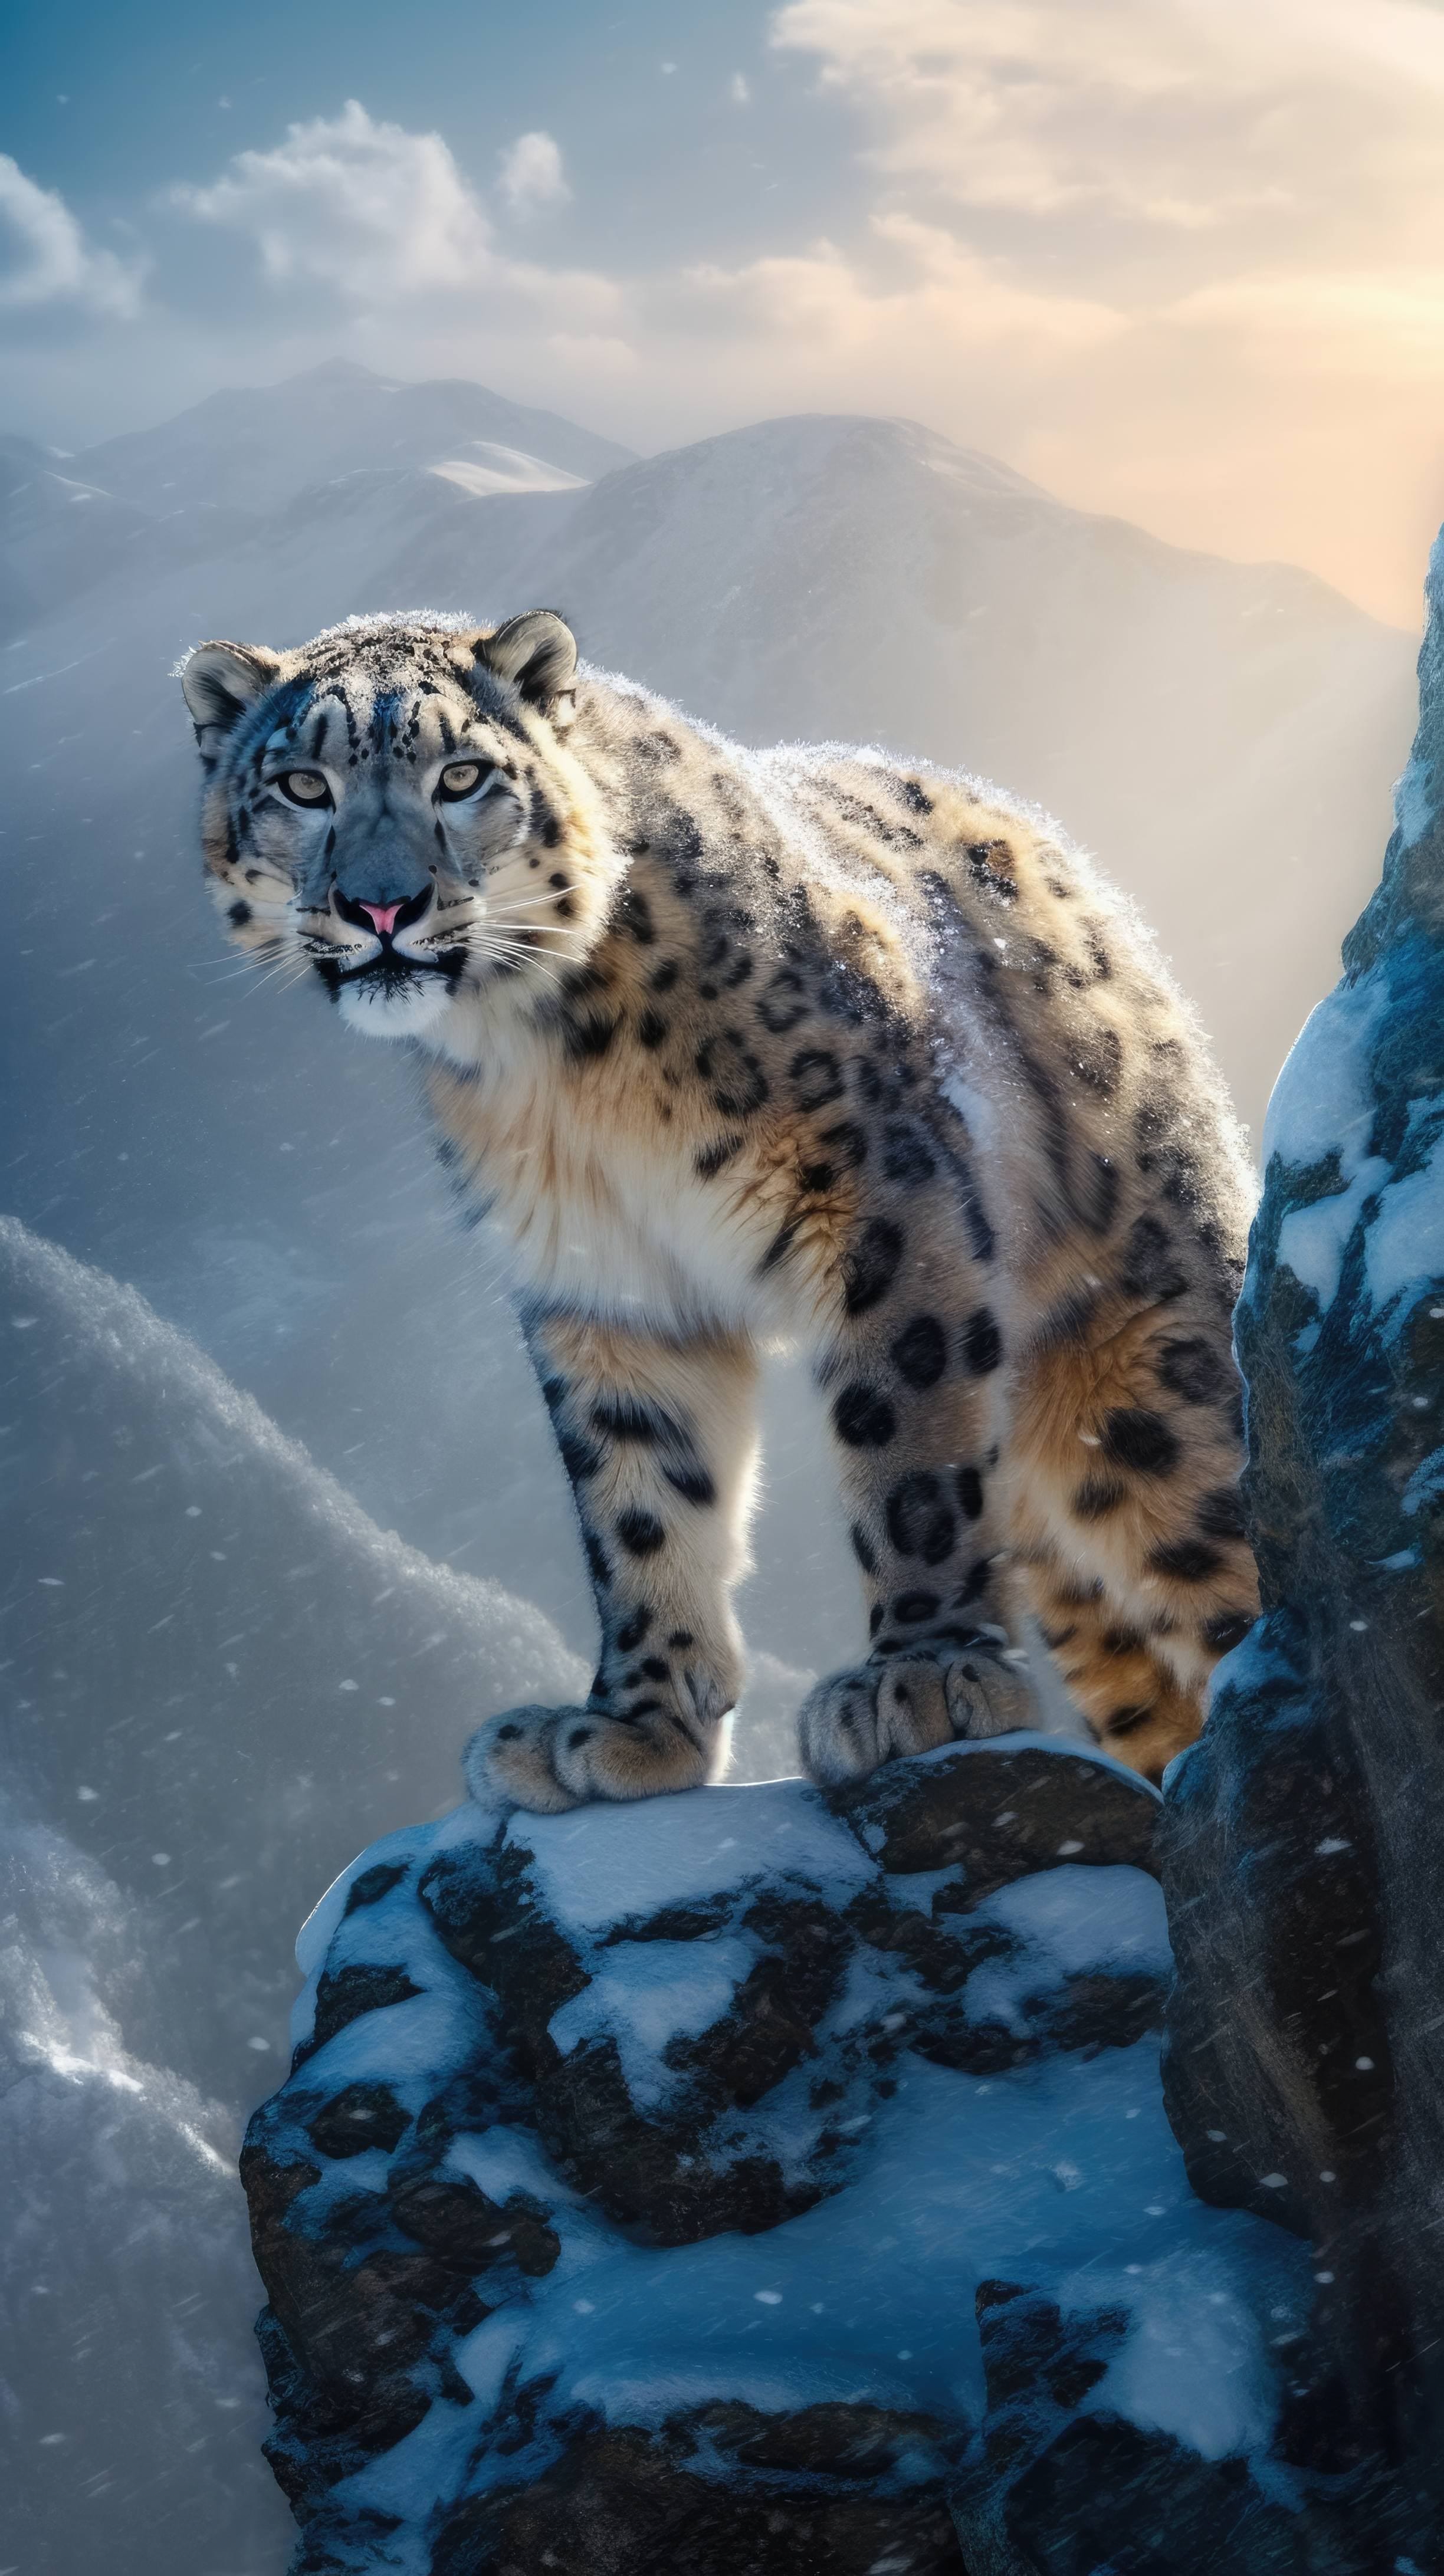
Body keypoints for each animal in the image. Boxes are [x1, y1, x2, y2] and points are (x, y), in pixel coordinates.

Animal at [180, 607, 1258, 1813]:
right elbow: (640, 1497)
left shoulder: (883, 1196)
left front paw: (922, 1677)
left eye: (460, 775)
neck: (549, 1065)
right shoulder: (608, 1282)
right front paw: (630, 1728)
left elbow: (909, 1445)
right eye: (303, 785)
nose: (380, 905)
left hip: (1141, 1364)